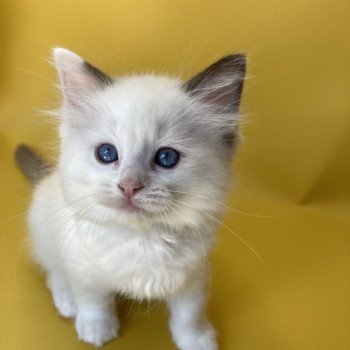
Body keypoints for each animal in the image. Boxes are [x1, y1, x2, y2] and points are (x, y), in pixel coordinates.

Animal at [15, 49, 245, 350]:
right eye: (106, 153)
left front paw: (196, 340)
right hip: (47, 234)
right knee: (54, 272)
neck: (142, 239)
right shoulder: (82, 268)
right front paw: (96, 328)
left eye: (166, 157)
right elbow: (93, 301)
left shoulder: (193, 277)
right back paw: (67, 303)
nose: (129, 187)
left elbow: (189, 314)